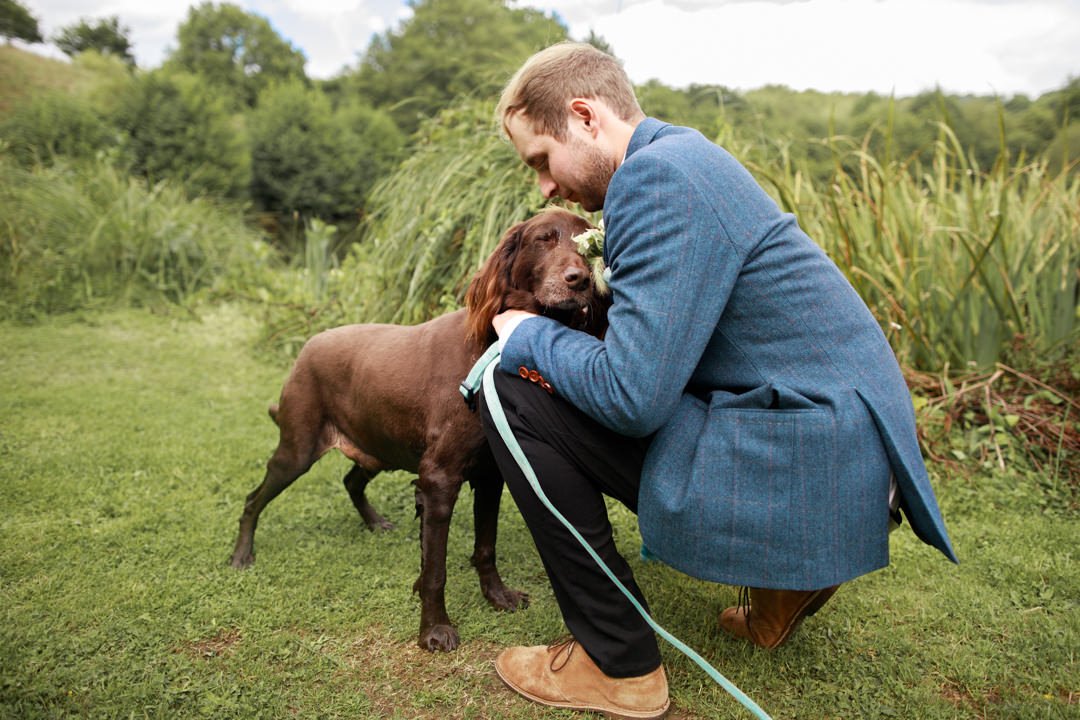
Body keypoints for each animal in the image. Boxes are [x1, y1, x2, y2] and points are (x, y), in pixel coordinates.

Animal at [231, 207, 604, 651]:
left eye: (587, 244)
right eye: (544, 239)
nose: (579, 279)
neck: (491, 343)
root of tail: (307, 346)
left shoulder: (489, 476)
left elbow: (485, 547)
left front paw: (497, 596)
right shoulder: (439, 478)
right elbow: (435, 571)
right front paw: (434, 630)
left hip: (376, 448)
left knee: (351, 481)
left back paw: (375, 523)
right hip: (297, 450)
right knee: (253, 499)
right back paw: (241, 555)